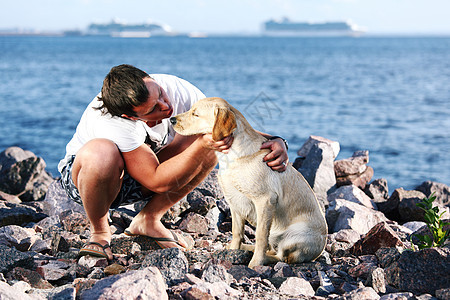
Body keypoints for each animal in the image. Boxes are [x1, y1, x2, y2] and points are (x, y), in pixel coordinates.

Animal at [170, 98, 326, 268]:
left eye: (196, 114)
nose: (172, 120)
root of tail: (318, 253)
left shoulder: (265, 201)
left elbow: (260, 236)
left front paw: (256, 263)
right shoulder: (234, 202)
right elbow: (237, 232)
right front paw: (233, 250)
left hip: (295, 235)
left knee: (282, 257)